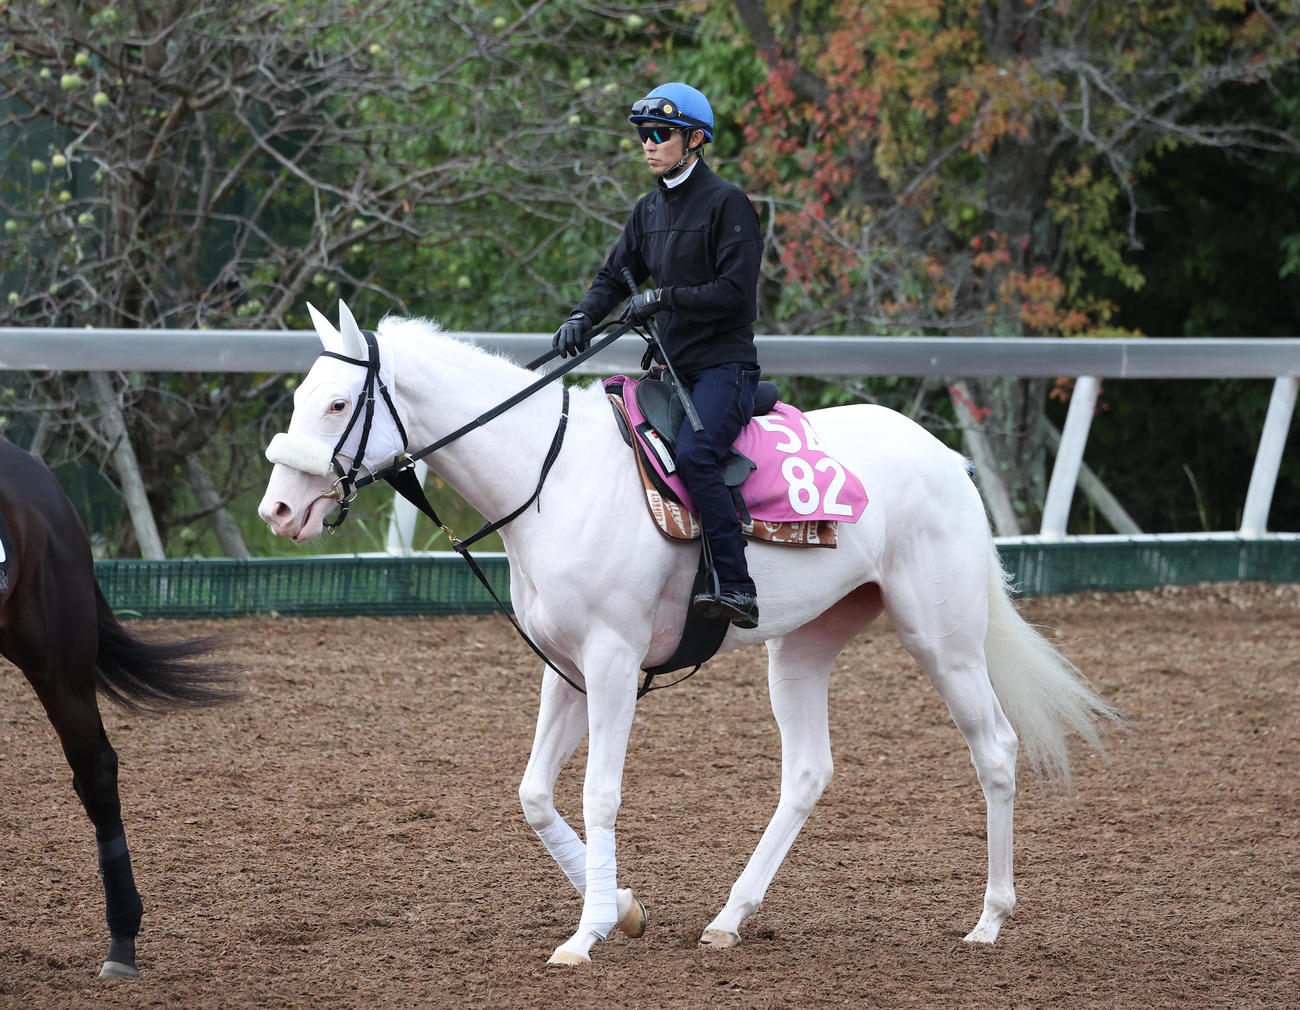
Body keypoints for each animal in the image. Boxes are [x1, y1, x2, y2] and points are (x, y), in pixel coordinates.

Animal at [258, 301, 1115, 966]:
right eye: (303, 395)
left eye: (337, 404)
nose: (278, 510)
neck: (551, 478)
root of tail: (944, 458)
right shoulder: (566, 669)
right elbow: (534, 794)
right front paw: (622, 907)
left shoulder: (612, 663)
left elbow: (600, 794)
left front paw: (586, 934)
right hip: (800, 648)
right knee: (807, 771)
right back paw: (730, 919)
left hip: (944, 642)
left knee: (995, 751)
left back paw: (989, 920)